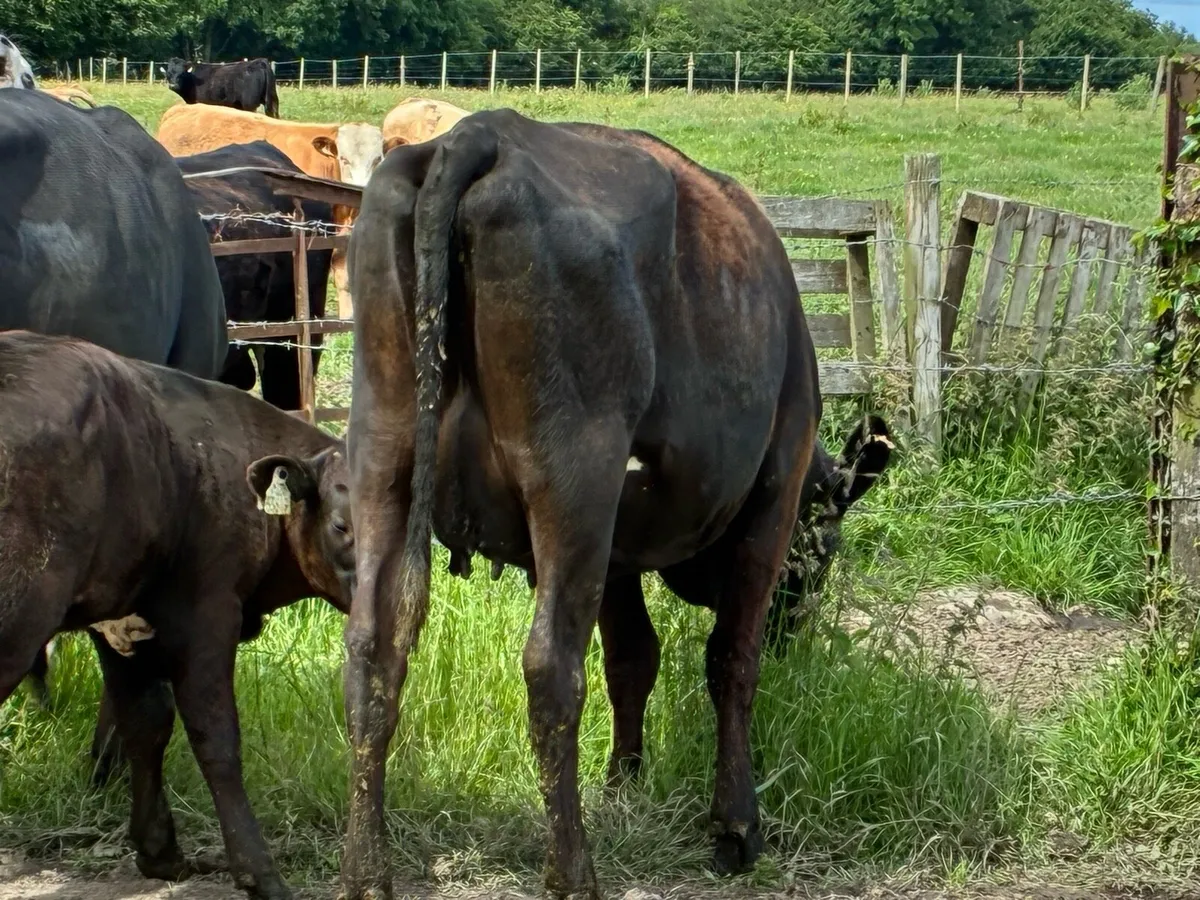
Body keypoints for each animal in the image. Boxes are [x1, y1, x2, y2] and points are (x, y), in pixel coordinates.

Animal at [0, 330, 355, 900]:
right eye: (342, 525)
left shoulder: (120, 621)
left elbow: (145, 722)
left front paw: (159, 853)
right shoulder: (207, 610)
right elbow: (216, 737)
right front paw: (260, 873)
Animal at [340, 107, 824, 900]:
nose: (801, 625)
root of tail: (483, 132)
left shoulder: (615, 548)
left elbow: (632, 658)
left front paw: (624, 782)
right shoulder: (772, 496)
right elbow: (731, 660)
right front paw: (734, 825)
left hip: (384, 456)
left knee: (373, 651)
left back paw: (367, 869)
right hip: (573, 479)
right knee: (549, 668)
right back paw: (572, 872)